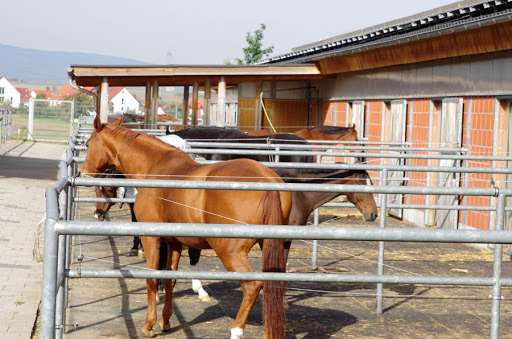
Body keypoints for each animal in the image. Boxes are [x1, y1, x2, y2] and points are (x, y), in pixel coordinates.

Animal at [84, 115, 292, 338]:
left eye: (88, 144)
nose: (84, 173)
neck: (155, 167)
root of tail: (267, 180)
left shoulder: (151, 238)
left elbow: (152, 279)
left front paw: (149, 325)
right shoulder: (174, 242)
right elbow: (170, 279)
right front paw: (165, 321)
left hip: (230, 252)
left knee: (252, 286)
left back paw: (236, 330)